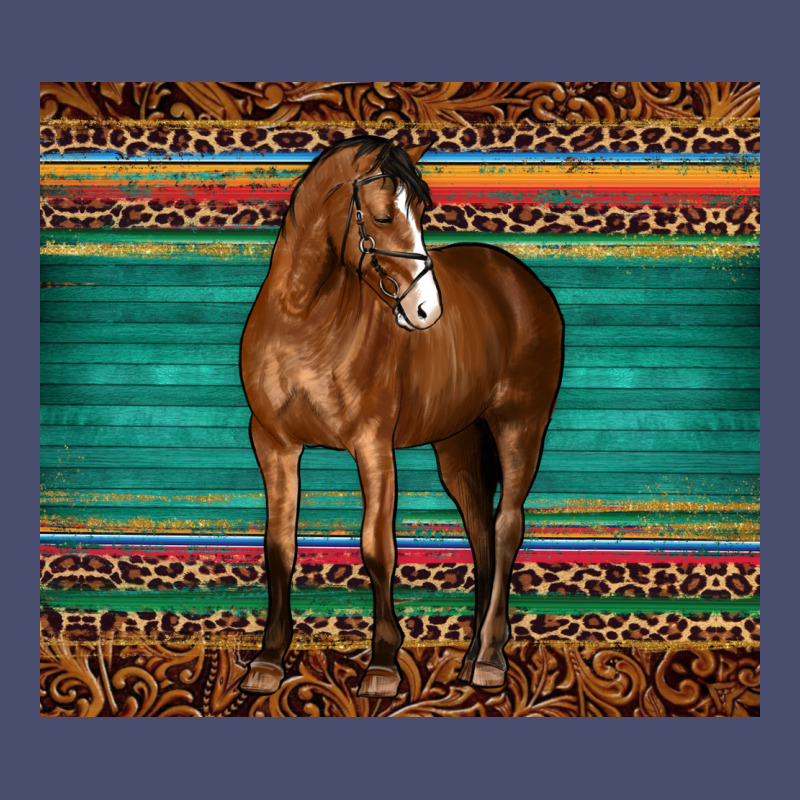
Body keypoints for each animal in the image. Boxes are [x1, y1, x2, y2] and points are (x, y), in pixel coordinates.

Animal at [239, 136, 564, 698]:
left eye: (422, 212)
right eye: (384, 216)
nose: (426, 311)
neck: (303, 320)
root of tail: (520, 281)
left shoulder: (372, 446)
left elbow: (378, 548)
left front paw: (383, 665)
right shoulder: (274, 444)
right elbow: (279, 545)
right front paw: (268, 660)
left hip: (520, 425)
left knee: (506, 526)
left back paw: (490, 659)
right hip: (458, 442)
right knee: (480, 530)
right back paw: (471, 654)